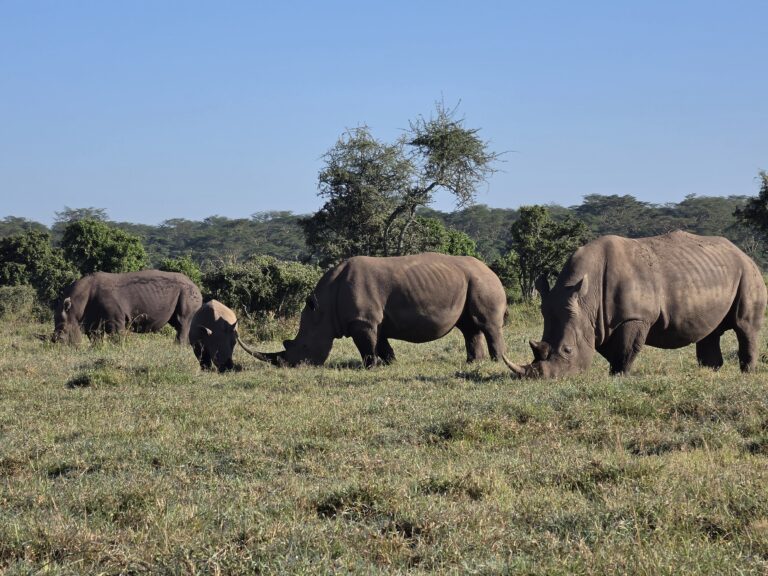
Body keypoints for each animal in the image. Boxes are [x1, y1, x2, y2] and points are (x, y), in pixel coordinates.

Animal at [54, 270, 203, 344]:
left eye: (62, 334)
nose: (55, 345)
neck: (75, 306)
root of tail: (196, 286)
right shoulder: (92, 320)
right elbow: (96, 338)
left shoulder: (115, 319)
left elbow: (117, 337)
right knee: (177, 323)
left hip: (187, 292)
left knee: (183, 321)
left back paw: (178, 347)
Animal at [247, 253, 509, 368]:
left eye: (303, 346)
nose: (291, 366)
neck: (323, 308)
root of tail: (491, 270)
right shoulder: (372, 321)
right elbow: (382, 345)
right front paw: (391, 364)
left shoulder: (362, 320)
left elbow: (367, 346)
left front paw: (369, 367)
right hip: (469, 281)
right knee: (468, 327)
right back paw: (473, 363)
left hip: (483, 282)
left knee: (487, 324)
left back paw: (495, 362)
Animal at [504, 231, 767, 378]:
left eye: (568, 350)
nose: (540, 379)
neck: (587, 301)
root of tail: (741, 251)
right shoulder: (600, 322)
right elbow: (609, 348)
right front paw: (613, 373)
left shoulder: (634, 316)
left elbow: (625, 350)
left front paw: (618, 376)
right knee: (709, 331)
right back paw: (710, 372)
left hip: (748, 272)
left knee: (745, 327)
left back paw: (747, 373)